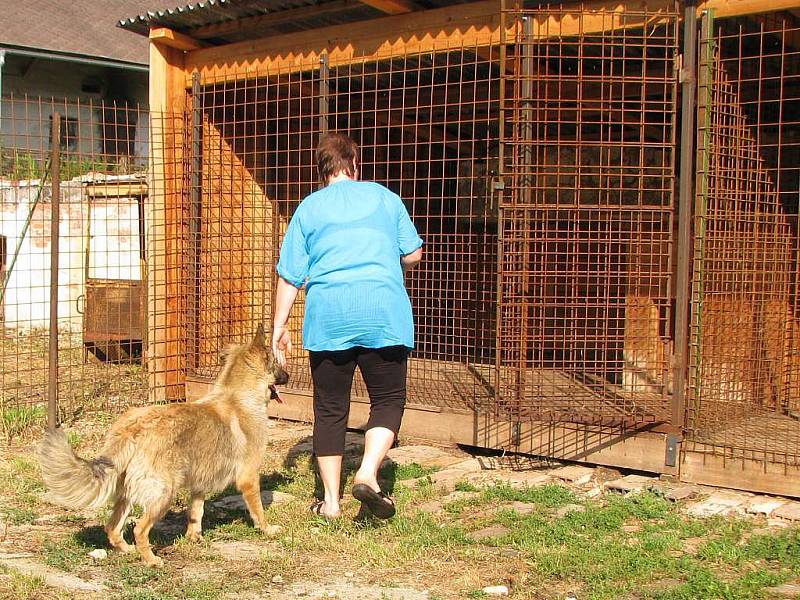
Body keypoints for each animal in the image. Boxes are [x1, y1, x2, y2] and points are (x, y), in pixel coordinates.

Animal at [36, 328, 290, 568]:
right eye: (277, 364)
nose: (287, 376)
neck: (238, 397)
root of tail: (133, 428)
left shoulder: (199, 483)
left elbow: (196, 512)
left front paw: (194, 537)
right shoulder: (248, 478)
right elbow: (258, 510)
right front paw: (267, 530)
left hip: (128, 493)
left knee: (112, 527)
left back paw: (128, 550)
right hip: (164, 494)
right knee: (139, 529)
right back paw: (150, 560)